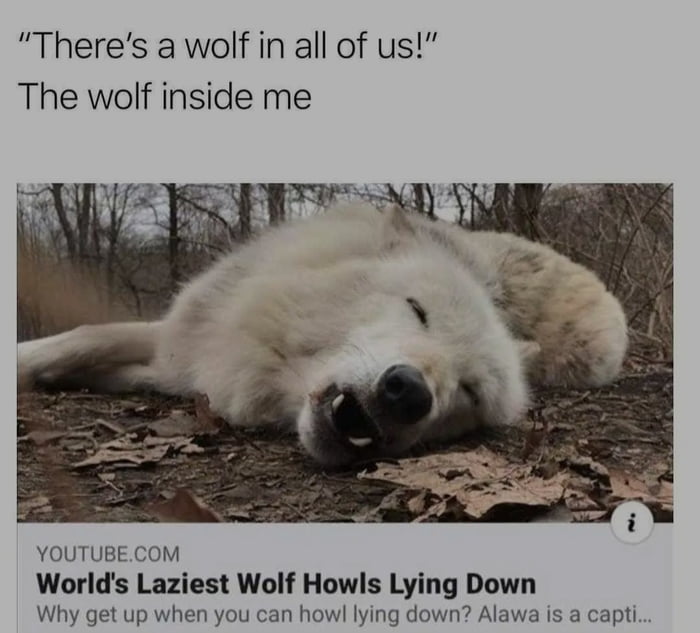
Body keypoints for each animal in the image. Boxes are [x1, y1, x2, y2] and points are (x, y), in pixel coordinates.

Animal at [18, 203, 627, 466]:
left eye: (470, 392)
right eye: (418, 310)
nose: (408, 393)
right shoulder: (186, 344)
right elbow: (87, 335)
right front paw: (31, 361)